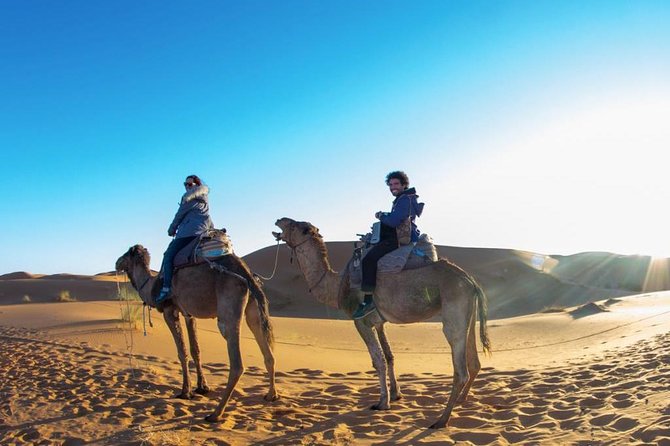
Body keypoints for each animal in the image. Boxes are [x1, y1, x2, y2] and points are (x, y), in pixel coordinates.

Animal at [117, 244, 280, 422]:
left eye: (127, 254)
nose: (117, 262)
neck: (151, 286)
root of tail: (247, 275)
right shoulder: (189, 314)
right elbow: (195, 350)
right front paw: (202, 387)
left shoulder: (169, 311)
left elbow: (182, 352)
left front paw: (185, 392)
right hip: (252, 310)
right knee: (267, 352)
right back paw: (271, 395)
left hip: (229, 308)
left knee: (237, 364)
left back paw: (215, 414)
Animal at [274, 219, 494, 428]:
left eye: (296, 226)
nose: (279, 219)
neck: (337, 285)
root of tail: (470, 281)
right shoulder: (378, 323)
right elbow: (389, 356)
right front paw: (396, 394)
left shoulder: (361, 321)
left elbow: (377, 361)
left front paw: (382, 402)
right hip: (468, 315)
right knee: (474, 361)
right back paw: (460, 402)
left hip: (454, 313)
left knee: (461, 369)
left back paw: (441, 420)